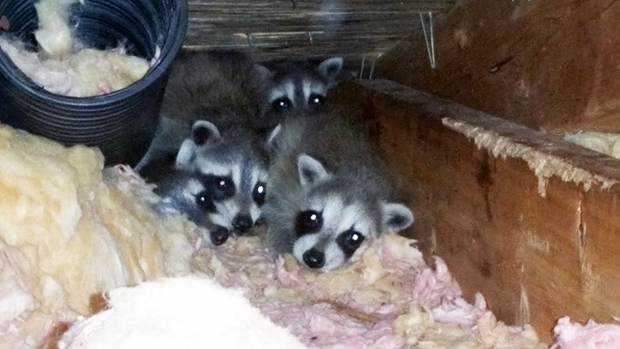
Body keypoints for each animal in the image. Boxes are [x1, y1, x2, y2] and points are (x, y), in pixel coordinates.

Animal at [262, 113, 414, 270]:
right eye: (313, 218)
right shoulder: (289, 190)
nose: (313, 258)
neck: (356, 179)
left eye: (354, 237)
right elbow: (276, 214)